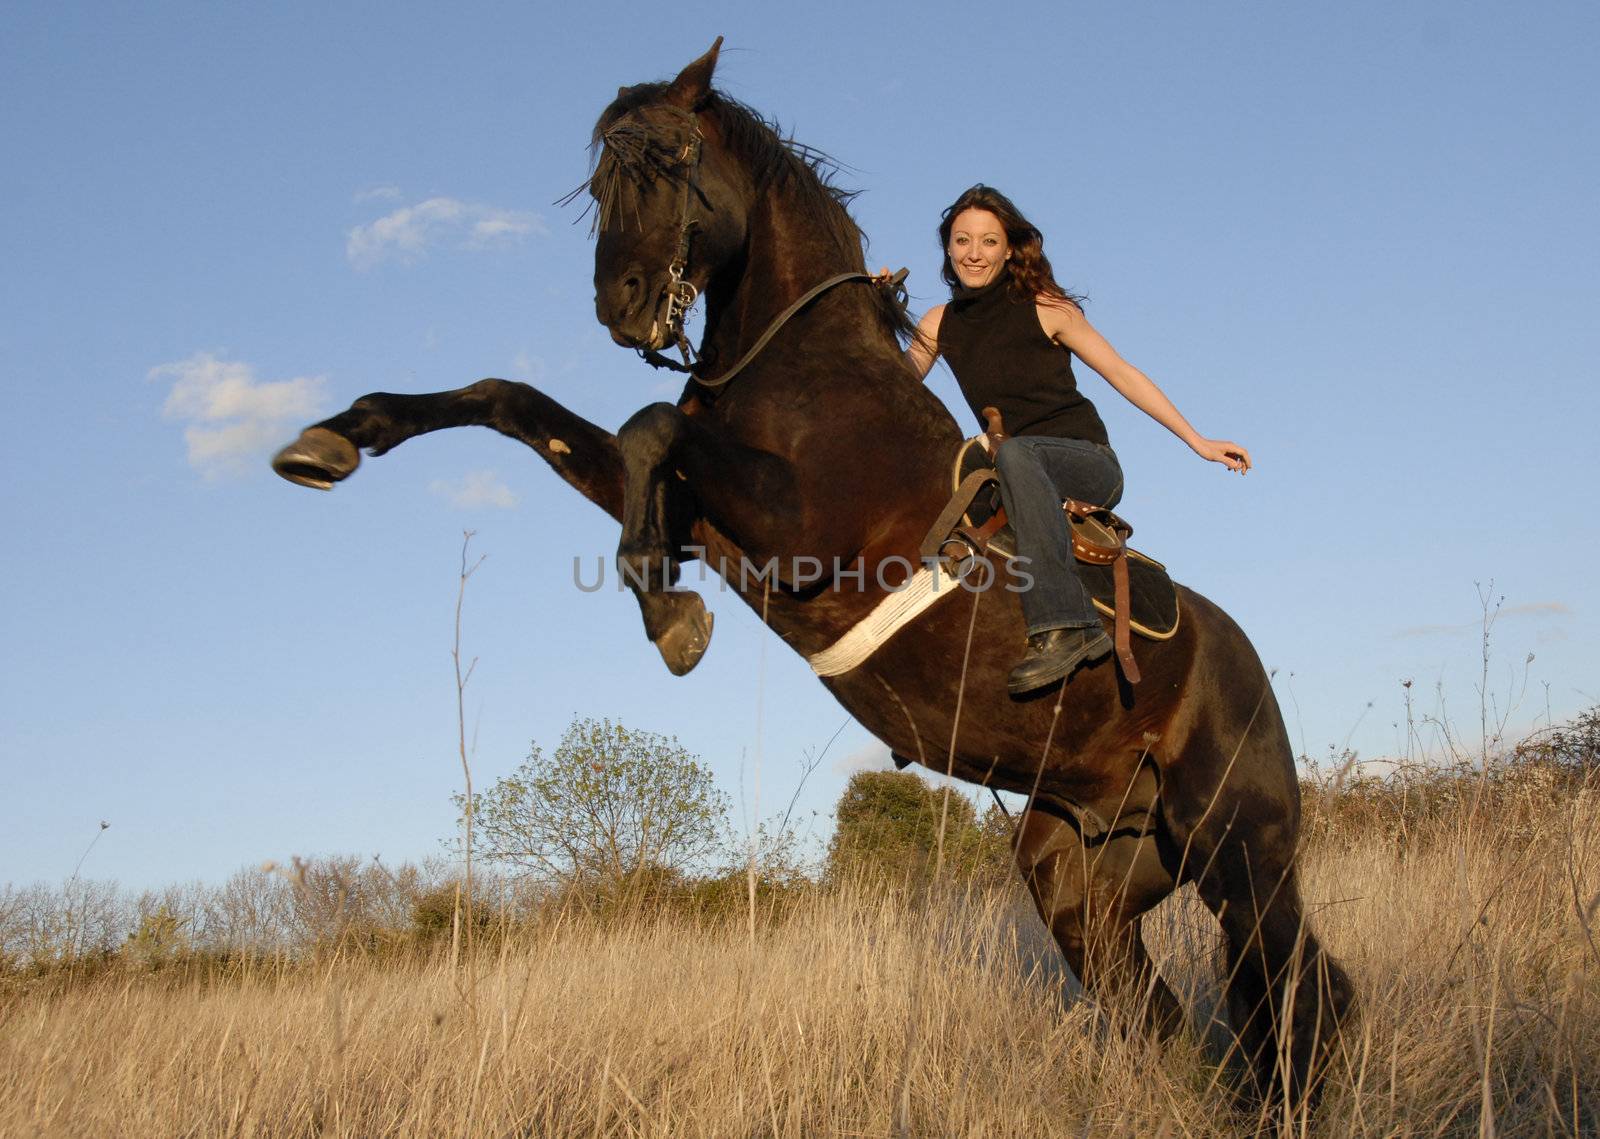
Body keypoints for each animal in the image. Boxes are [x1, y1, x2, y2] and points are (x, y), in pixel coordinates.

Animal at [272, 37, 1350, 1113]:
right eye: (597, 180)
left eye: (671, 157)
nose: (620, 304)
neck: (795, 367)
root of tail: (1244, 664)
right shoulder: (706, 510)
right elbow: (521, 402)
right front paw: (335, 438)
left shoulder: (799, 527)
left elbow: (648, 426)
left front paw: (666, 607)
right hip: (1087, 870)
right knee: (1171, 1004)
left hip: (1235, 848)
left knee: (1294, 978)